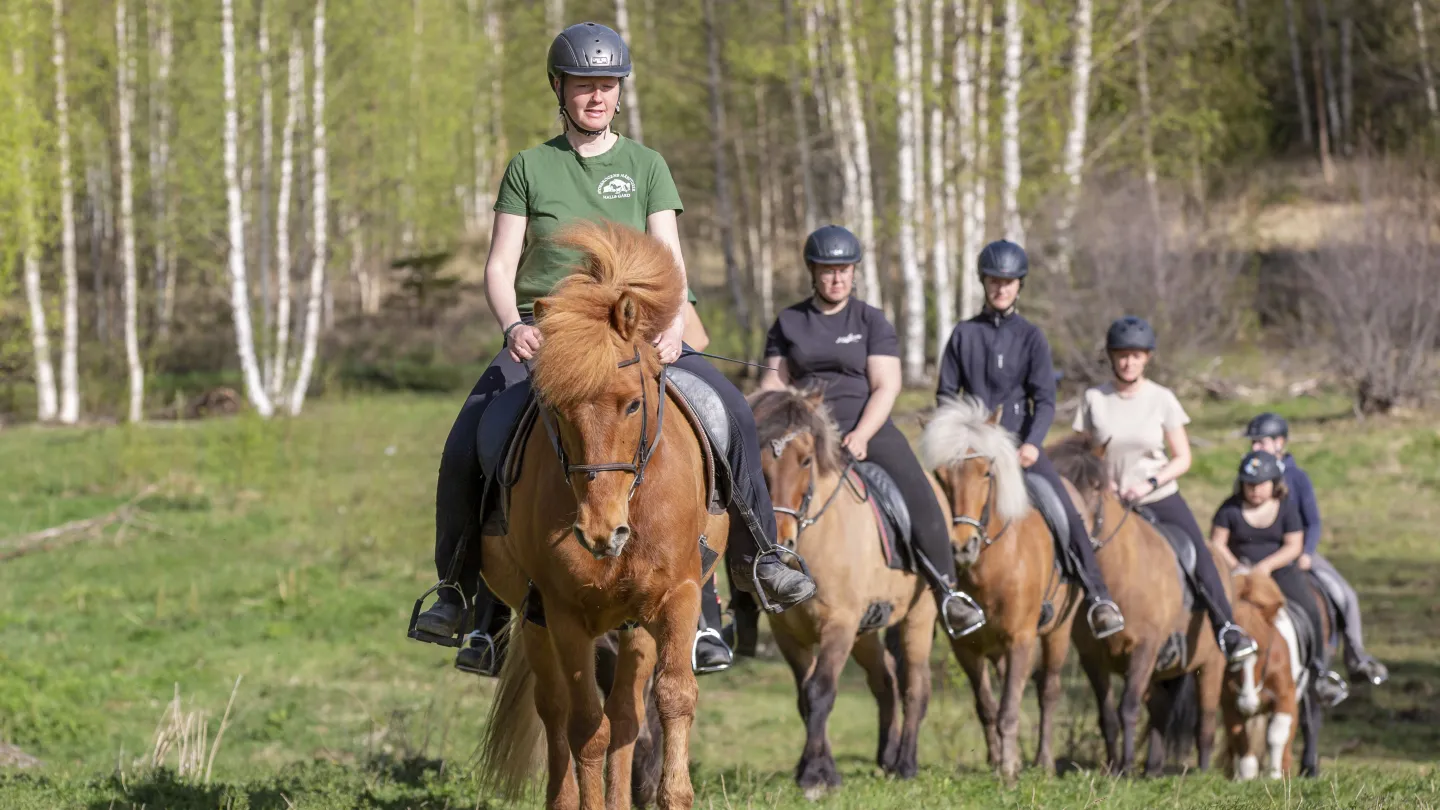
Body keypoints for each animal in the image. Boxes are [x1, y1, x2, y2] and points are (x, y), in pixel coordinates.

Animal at [478, 221, 731, 807]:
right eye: (556, 408)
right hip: (535, 619)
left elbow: (672, 699)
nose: (600, 532)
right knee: (556, 710)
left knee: (627, 715)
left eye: (633, 403)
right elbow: (584, 728)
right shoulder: (564, 613)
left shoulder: (677, 595)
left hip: (635, 622)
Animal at [748, 386, 938, 795]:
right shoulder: (789, 634)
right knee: (885, 680)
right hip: (865, 633)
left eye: (806, 460)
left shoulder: (839, 624)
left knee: (915, 685)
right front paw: (816, 768)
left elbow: (820, 690)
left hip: (918, 617)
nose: (780, 542)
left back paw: (906, 764)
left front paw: (817, 776)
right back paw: (887, 756)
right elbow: (804, 698)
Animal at [921, 394, 1082, 778]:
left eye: (986, 472)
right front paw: (998, 759)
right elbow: (987, 706)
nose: (961, 547)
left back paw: (1043, 761)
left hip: (1058, 632)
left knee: (1048, 690)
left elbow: (1010, 706)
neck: (993, 567)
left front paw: (1008, 769)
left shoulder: (1022, 638)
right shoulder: (965, 646)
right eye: (940, 476)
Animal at [1054, 432, 1232, 772]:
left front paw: (1125, 768)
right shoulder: (1091, 656)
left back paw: (1201, 772)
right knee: (1161, 713)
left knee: (1205, 723)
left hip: (1211, 665)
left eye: (1096, 485)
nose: (1072, 528)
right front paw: (1113, 767)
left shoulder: (1144, 649)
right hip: (1163, 672)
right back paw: (1152, 770)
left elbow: (1128, 707)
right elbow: (1108, 716)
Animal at [1221, 570, 1301, 778]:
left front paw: (1275, 776)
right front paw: (1246, 778)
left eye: (1264, 651)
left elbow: (1276, 735)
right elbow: (1240, 739)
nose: (1248, 703)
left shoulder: (1285, 696)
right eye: (1230, 656)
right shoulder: (1229, 703)